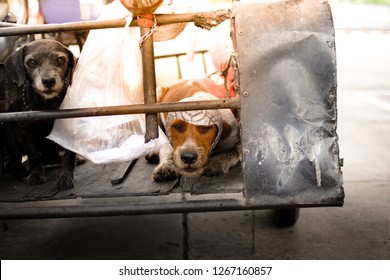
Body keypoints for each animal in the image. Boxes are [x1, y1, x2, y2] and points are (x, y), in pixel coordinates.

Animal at [0, 39, 76, 189]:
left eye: (60, 60)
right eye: (31, 62)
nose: (48, 81)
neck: (47, 106)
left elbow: (68, 156)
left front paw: (65, 176)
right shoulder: (27, 132)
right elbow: (33, 155)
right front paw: (35, 175)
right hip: (9, 134)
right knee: (14, 164)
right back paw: (23, 173)